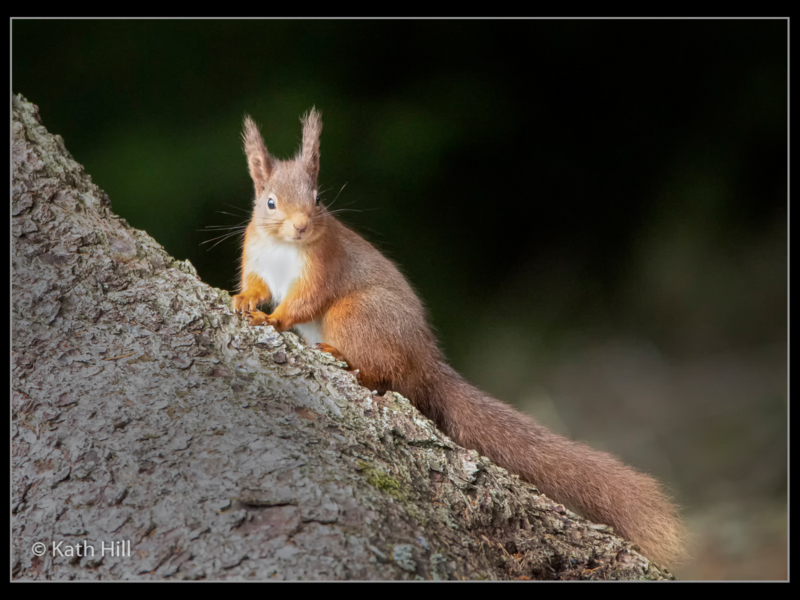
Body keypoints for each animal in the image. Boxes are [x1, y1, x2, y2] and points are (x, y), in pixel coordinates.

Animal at [230, 109, 686, 567]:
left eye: (318, 199)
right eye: (270, 202)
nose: (302, 226)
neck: (285, 248)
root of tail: (427, 363)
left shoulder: (322, 269)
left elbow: (304, 303)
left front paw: (275, 319)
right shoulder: (255, 255)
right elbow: (257, 285)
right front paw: (243, 300)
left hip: (356, 314)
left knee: (385, 373)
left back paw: (346, 359)